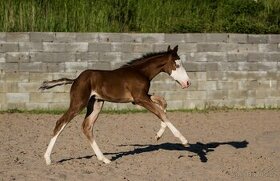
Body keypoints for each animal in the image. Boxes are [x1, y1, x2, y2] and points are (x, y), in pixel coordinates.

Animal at [40, 45, 190, 164]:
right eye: (177, 65)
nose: (187, 83)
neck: (141, 72)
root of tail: (75, 79)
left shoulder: (141, 97)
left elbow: (163, 104)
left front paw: (158, 135)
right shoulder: (139, 99)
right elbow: (160, 112)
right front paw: (183, 140)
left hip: (96, 103)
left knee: (87, 126)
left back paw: (104, 159)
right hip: (78, 103)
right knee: (61, 122)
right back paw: (47, 158)